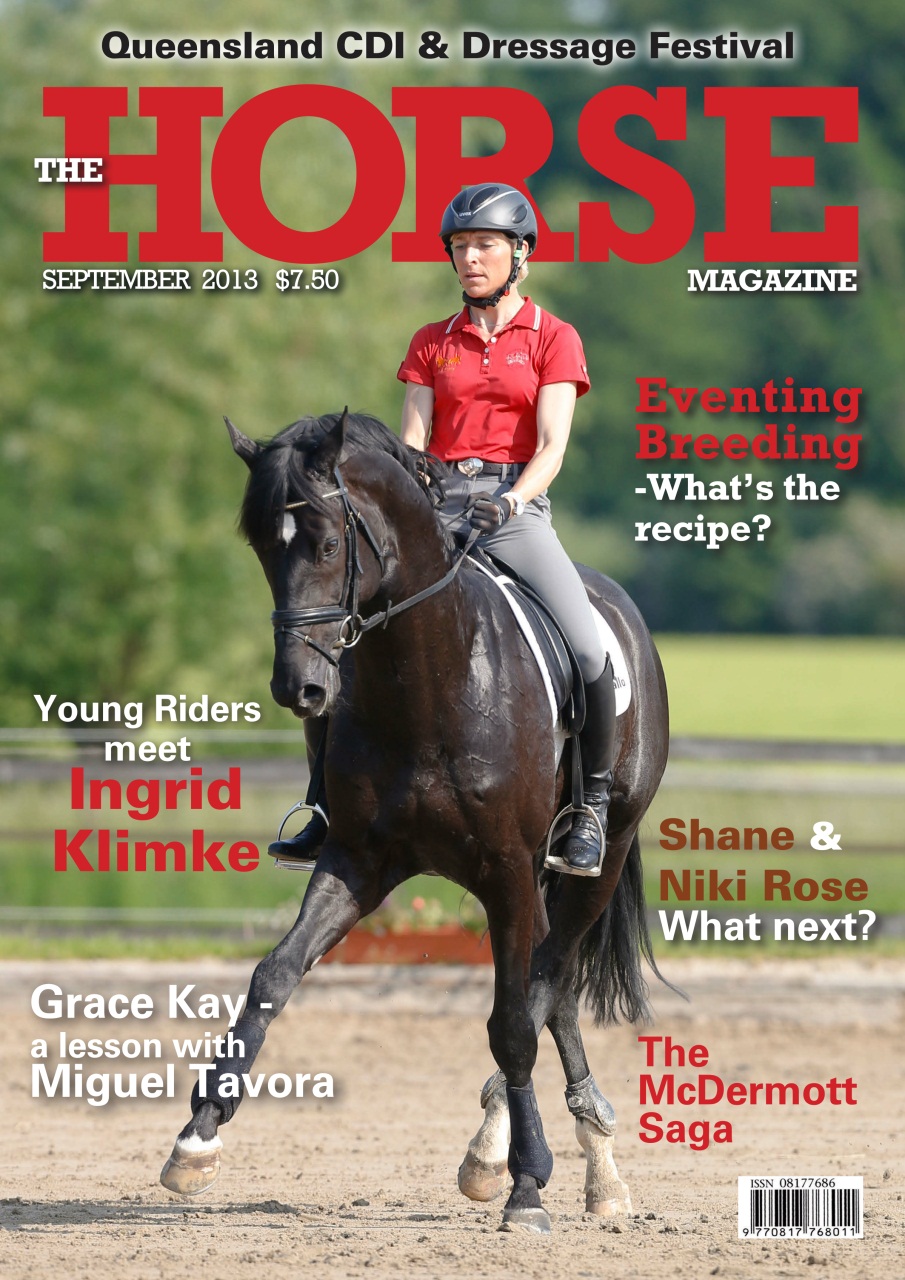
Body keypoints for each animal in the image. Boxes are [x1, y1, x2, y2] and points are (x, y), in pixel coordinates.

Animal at [160, 410, 670, 1234]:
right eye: (262, 547)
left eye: (327, 544)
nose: (299, 688)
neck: (428, 673)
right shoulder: (356, 861)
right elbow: (274, 974)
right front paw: (196, 1139)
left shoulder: (507, 870)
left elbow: (511, 1023)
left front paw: (526, 1185)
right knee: (553, 987)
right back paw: (577, 1163)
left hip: (599, 856)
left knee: (548, 980)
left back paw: (532, 1155)